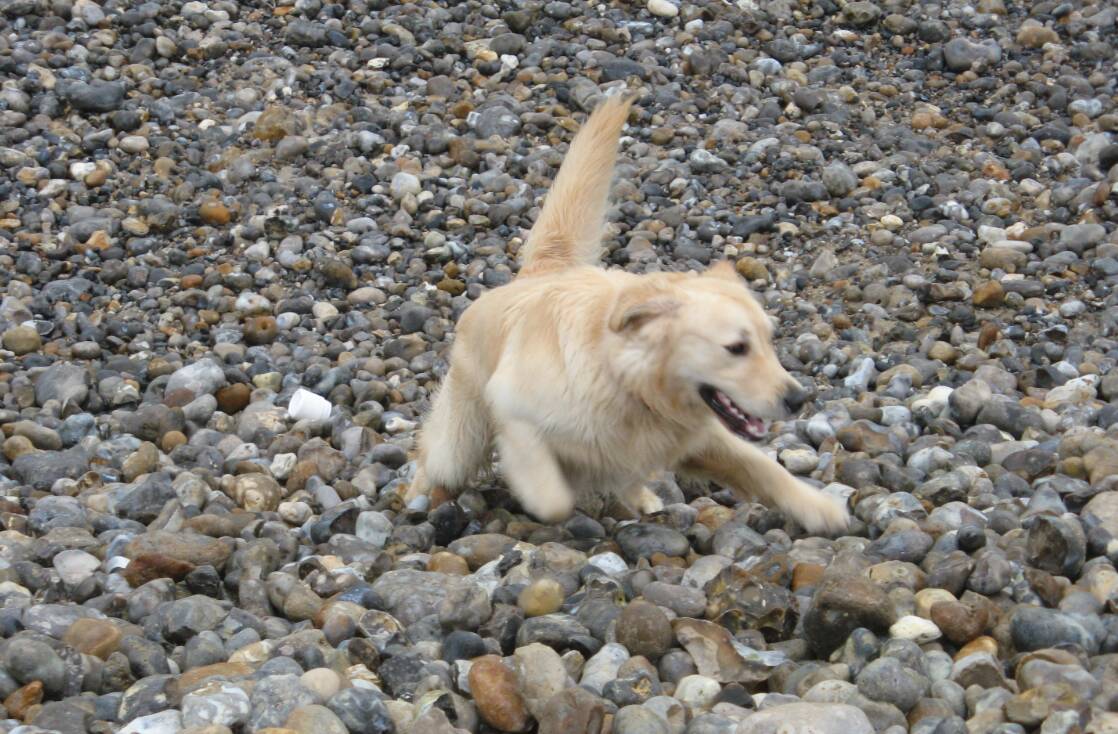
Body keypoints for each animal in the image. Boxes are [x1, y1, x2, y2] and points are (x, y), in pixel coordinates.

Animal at [404, 94, 850, 535]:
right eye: (736, 348)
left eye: (771, 343)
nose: (799, 399)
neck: (628, 386)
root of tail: (541, 272)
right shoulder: (512, 405)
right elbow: (553, 497)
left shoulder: (698, 435)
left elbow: (761, 466)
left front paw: (819, 507)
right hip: (460, 438)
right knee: (434, 455)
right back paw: (419, 495)